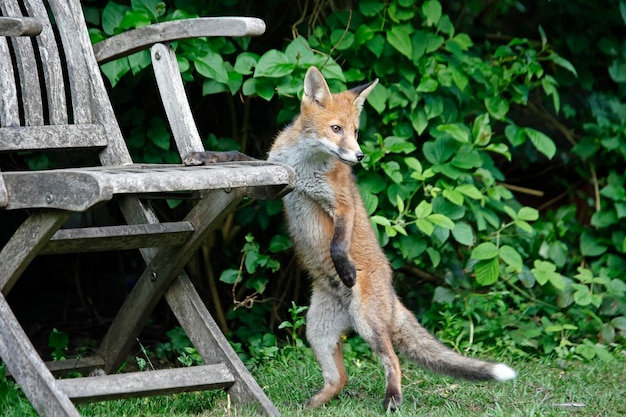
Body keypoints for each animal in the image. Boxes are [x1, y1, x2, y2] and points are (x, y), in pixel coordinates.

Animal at [186, 66, 516, 412]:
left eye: (355, 130)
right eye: (336, 128)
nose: (359, 156)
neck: (305, 164)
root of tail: (391, 294)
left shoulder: (343, 204)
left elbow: (338, 243)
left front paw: (345, 268)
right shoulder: (274, 182)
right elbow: (236, 155)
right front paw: (203, 156)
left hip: (366, 323)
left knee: (393, 360)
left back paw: (392, 398)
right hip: (317, 331)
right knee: (339, 378)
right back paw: (312, 404)